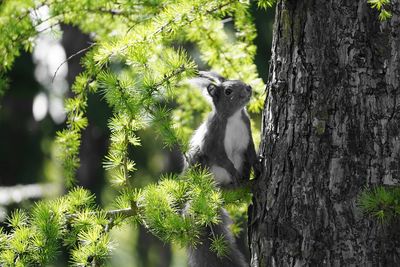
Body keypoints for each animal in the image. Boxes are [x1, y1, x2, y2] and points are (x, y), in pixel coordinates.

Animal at [184, 71, 256, 267]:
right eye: (228, 91)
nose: (248, 88)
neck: (234, 117)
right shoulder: (213, 141)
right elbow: (222, 159)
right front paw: (234, 172)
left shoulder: (247, 134)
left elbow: (251, 152)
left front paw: (258, 164)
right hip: (203, 166)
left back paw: (243, 178)